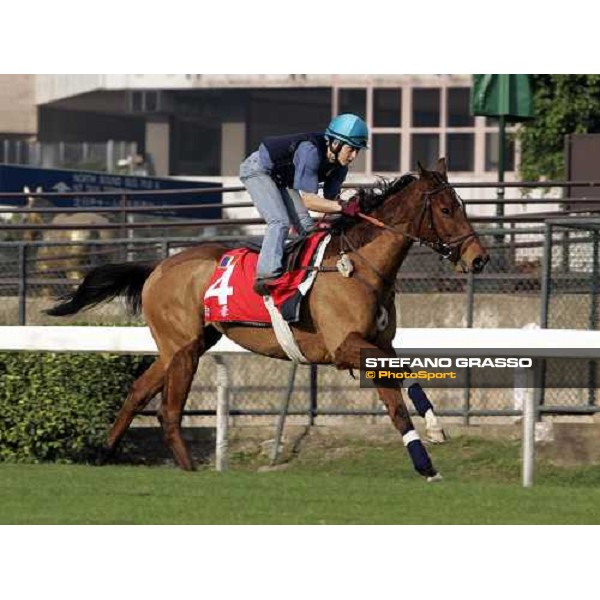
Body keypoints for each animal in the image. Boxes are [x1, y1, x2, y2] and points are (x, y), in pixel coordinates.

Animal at [45, 157, 488, 480]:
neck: (357, 265)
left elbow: (402, 388)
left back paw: (104, 454)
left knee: (138, 393)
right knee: (168, 411)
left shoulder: (378, 342)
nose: (478, 258)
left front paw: (431, 441)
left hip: (182, 346)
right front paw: (429, 450)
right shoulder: (344, 347)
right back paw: (190, 472)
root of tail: (158, 265)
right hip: (184, 347)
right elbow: (396, 386)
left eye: (463, 206)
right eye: (446, 208)